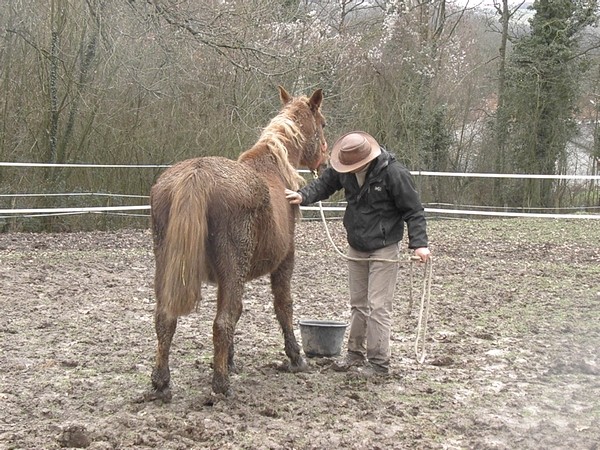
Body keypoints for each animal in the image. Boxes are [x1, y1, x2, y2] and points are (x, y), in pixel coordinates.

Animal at [146, 86, 328, 400]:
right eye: (323, 124)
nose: (327, 160)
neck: (272, 168)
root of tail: (197, 174)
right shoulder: (284, 261)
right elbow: (283, 306)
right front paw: (295, 358)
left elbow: (239, 310)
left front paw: (230, 361)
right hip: (233, 268)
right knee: (222, 322)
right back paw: (221, 386)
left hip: (168, 267)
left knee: (165, 319)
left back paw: (162, 383)